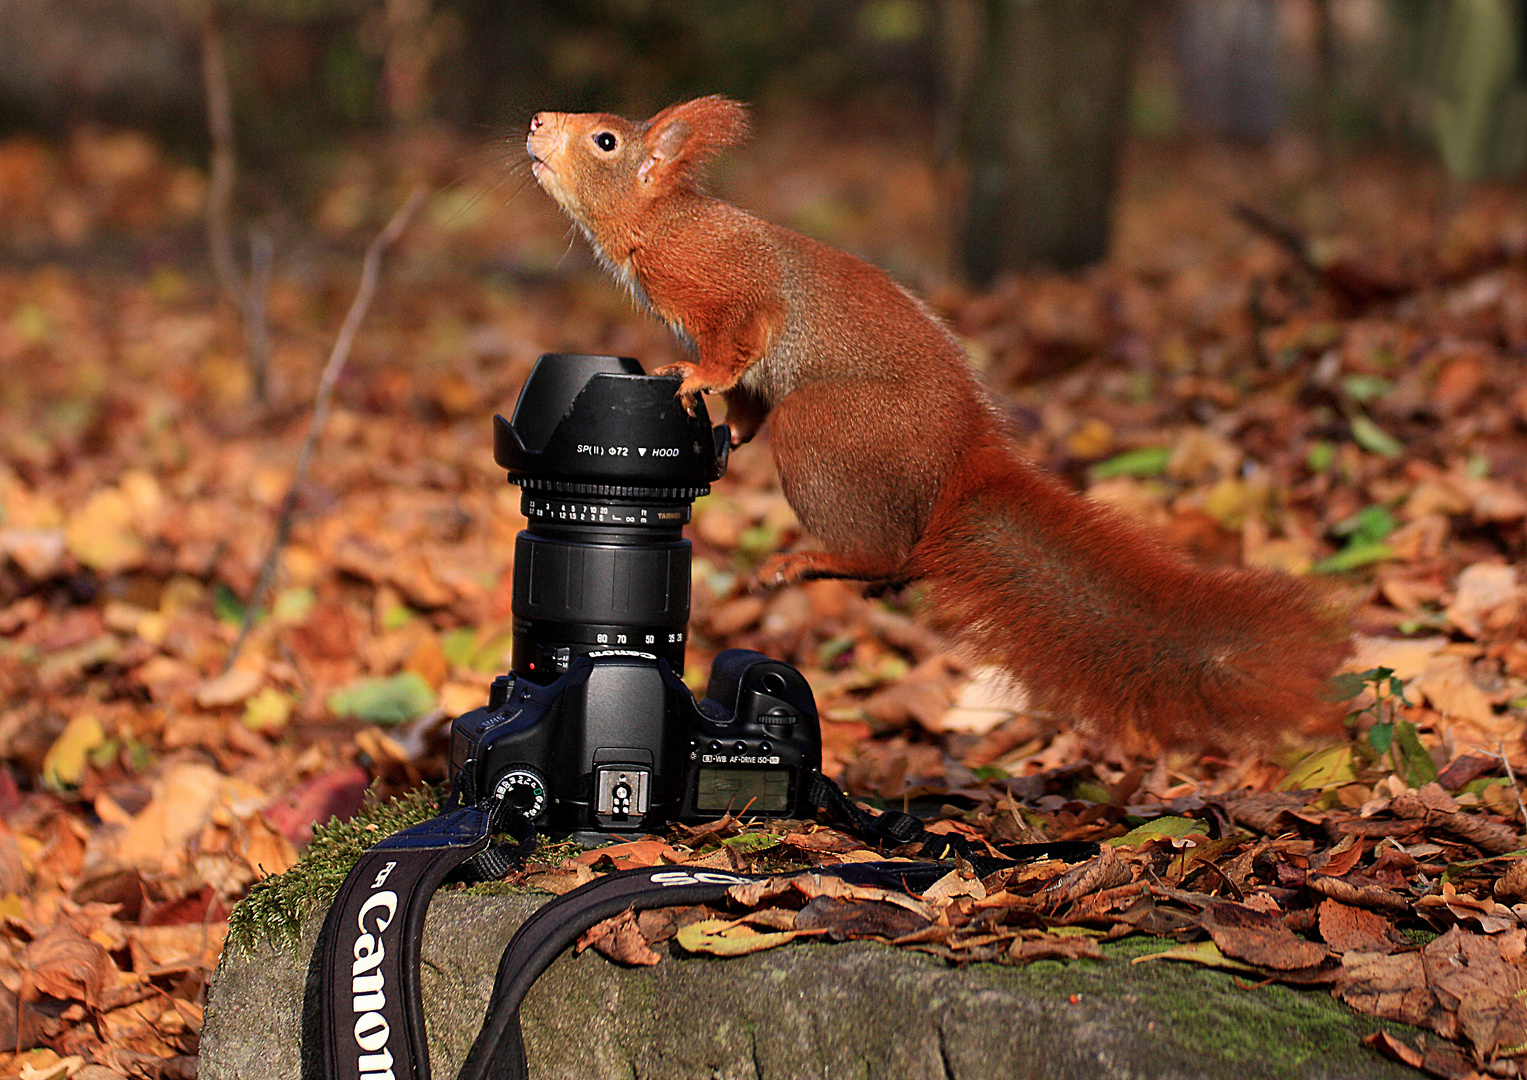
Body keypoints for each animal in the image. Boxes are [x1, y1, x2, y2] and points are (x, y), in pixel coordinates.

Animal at [528, 95, 1349, 751]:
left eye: (604, 140)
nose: (536, 123)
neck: (658, 219)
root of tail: (957, 465)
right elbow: (748, 397)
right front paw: (730, 432)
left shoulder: (725, 286)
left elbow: (740, 344)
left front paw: (693, 379)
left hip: (827, 431)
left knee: (883, 548)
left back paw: (809, 559)